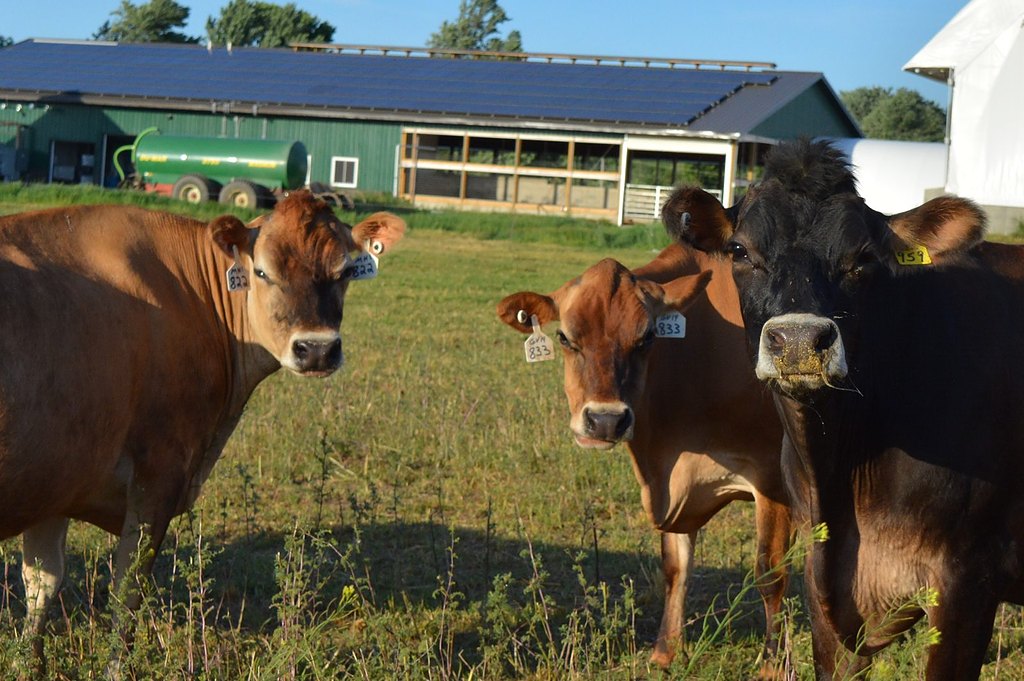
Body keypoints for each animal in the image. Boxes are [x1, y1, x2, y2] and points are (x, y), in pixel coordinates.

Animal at [0, 192, 404, 671]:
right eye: (262, 271)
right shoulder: (160, 472)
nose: (317, 349)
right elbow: (126, 592)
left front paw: (27, 664)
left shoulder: (57, 478)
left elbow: (42, 583)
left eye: (344, 272)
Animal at [496, 244, 791, 674]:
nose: (605, 420)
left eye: (648, 337)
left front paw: (772, 667)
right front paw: (665, 651)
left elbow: (770, 573)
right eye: (565, 337)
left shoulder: (772, 477)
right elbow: (675, 565)